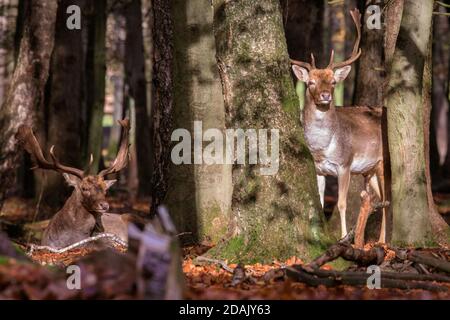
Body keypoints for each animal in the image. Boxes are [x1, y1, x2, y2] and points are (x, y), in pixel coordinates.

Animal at [292, 7, 386, 242]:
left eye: (333, 82)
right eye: (311, 83)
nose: (325, 95)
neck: (323, 148)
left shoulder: (345, 164)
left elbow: (342, 203)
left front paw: (343, 237)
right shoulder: (319, 170)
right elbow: (319, 202)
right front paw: (317, 233)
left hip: (382, 162)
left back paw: (381, 241)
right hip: (369, 171)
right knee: (379, 199)